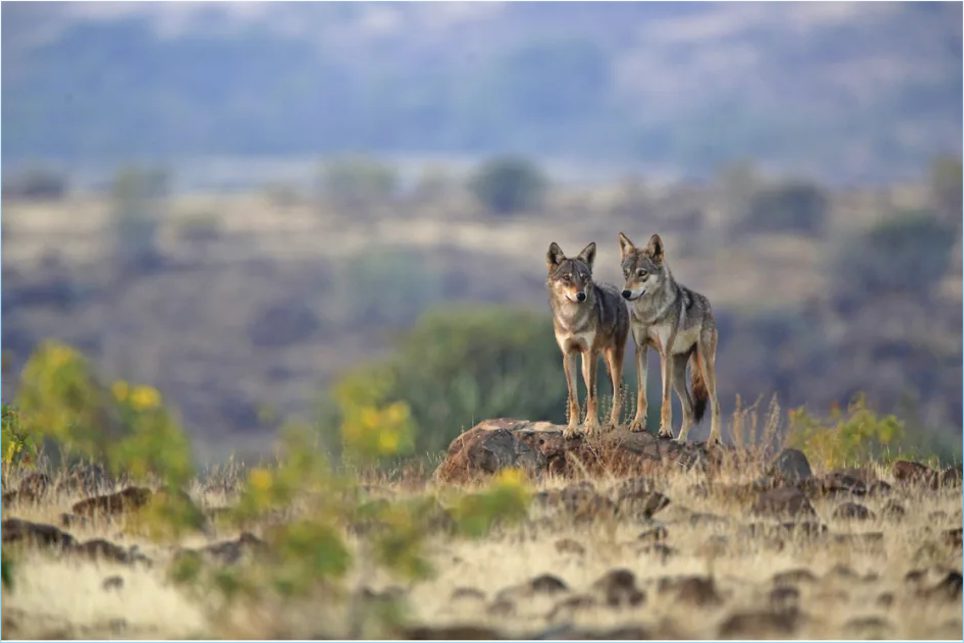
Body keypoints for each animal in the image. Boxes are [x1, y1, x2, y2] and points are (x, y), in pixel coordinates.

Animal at [546, 241, 630, 439]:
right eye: (567, 278)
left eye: (583, 278)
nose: (581, 295)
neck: (572, 319)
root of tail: (616, 290)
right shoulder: (568, 355)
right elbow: (574, 398)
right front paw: (572, 428)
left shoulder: (590, 353)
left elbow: (592, 395)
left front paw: (593, 427)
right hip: (586, 366)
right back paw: (585, 423)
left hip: (612, 360)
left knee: (617, 392)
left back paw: (611, 424)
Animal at [617, 232, 721, 444]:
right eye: (626, 273)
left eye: (642, 273)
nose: (625, 293)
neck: (649, 313)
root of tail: (707, 304)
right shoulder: (641, 349)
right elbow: (641, 393)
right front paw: (637, 423)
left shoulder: (664, 354)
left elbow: (665, 398)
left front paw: (665, 430)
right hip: (676, 374)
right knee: (689, 408)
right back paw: (680, 441)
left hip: (704, 368)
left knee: (716, 405)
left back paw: (714, 440)